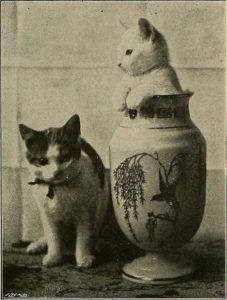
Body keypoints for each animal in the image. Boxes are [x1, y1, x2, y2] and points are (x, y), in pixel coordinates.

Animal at [18, 114, 109, 268]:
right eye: (42, 161)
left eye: (66, 158)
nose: (56, 172)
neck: (59, 188)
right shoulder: (47, 213)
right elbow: (52, 236)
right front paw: (54, 256)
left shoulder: (86, 213)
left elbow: (84, 237)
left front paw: (84, 257)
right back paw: (39, 244)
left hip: (101, 206)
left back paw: (98, 244)